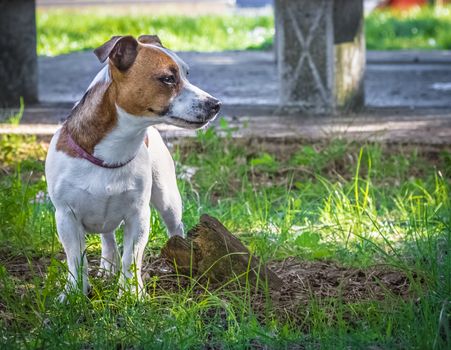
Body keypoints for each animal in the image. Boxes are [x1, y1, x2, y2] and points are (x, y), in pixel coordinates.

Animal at [45, 34, 221, 300]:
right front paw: (74, 293)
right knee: (107, 237)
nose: (216, 104)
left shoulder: (138, 216)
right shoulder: (66, 217)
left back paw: (178, 258)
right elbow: (76, 260)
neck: (113, 150)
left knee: (175, 227)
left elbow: (132, 257)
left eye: (187, 74)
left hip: (167, 198)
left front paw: (131, 294)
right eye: (168, 78)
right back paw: (107, 267)